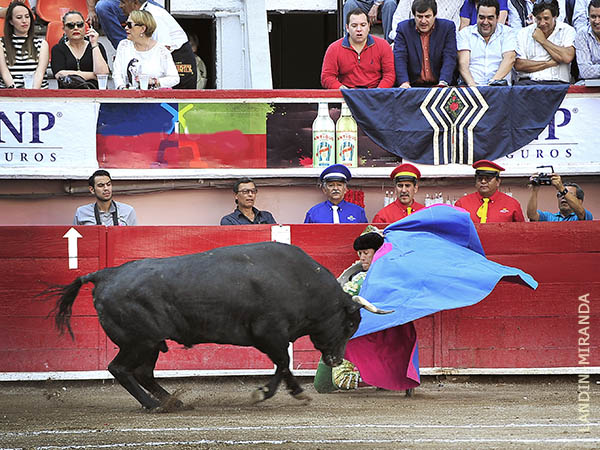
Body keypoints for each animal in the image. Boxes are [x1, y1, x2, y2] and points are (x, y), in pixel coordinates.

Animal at [43, 241, 390, 410]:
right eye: (351, 323)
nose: (335, 359)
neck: (301, 282)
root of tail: (105, 274)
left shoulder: (273, 337)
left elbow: (283, 365)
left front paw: (288, 392)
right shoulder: (269, 334)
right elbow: (282, 363)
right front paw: (268, 393)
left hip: (151, 343)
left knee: (142, 372)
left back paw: (172, 401)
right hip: (139, 341)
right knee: (120, 369)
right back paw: (154, 405)